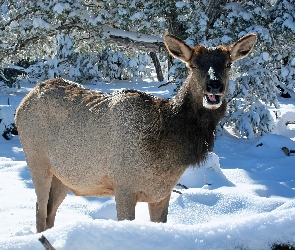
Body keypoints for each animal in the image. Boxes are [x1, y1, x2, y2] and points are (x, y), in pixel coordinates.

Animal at [15, 33, 258, 232]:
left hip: (63, 177)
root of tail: (24, 101)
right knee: (40, 212)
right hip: (37, 161)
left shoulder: (161, 193)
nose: (214, 86)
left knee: (49, 212)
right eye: (194, 65)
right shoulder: (123, 185)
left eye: (228, 63)